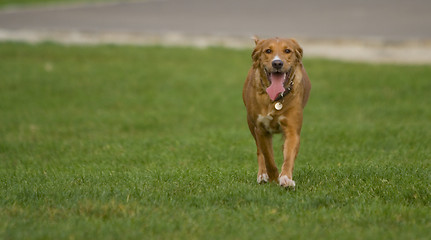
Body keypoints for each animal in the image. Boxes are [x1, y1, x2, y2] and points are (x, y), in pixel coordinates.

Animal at [243, 37, 310, 188]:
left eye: (287, 51)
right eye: (268, 50)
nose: (277, 63)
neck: (275, 100)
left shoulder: (292, 129)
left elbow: (289, 156)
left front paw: (286, 179)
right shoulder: (261, 129)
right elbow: (268, 158)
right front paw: (273, 179)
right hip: (250, 123)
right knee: (259, 152)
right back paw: (262, 175)